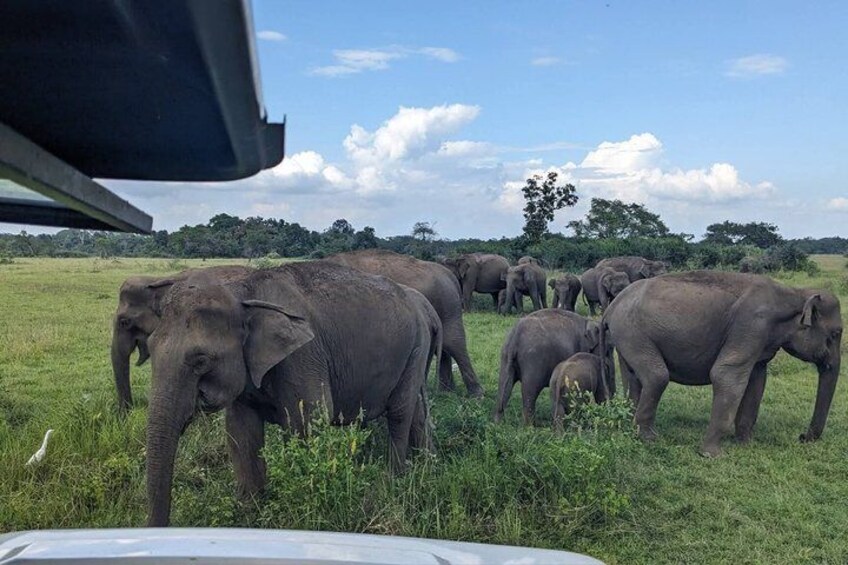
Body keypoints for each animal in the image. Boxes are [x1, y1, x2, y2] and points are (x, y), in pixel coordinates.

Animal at [144, 262, 437, 526]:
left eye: (201, 360)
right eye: (149, 347)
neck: (244, 291)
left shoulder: (302, 357)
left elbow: (306, 422)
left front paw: (302, 510)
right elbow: (242, 432)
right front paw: (251, 514)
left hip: (416, 346)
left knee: (399, 412)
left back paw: (395, 479)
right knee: (417, 411)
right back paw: (426, 465)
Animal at [324, 249, 484, 398]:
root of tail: (450, 276)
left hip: (448, 304)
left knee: (454, 342)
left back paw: (476, 395)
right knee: (444, 344)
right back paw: (446, 392)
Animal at [604, 271, 842, 457]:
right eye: (836, 334)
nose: (802, 437)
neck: (795, 293)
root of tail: (612, 305)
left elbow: (757, 380)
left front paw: (746, 444)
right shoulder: (751, 325)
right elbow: (726, 375)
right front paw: (712, 455)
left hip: (626, 337)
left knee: (633, 378)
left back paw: (629, 428)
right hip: (632, 333)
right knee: (657, 377)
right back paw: (649, 438)